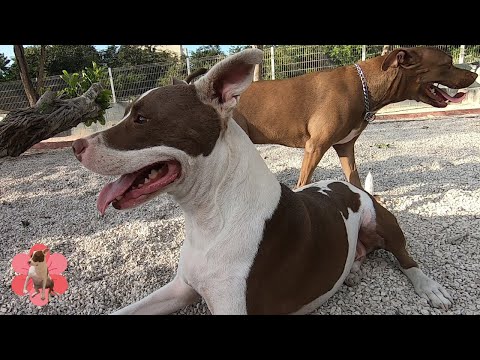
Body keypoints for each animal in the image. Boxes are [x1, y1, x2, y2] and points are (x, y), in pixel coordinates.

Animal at [73, 49, 452, 314]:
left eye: (141, 118)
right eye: (127, 114)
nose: (76, 146)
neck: (210, 217)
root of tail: (355, 188)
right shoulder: (180, 288)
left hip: (384, 221)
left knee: (405, 256)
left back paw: (430, 288)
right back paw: (354, 269)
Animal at [232, 46, 476, 188]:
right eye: (448, 64)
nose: (474, 74)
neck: (365, 86)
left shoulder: (345, 148)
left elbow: (355, 183)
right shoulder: (315, 147)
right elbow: (303, 183)